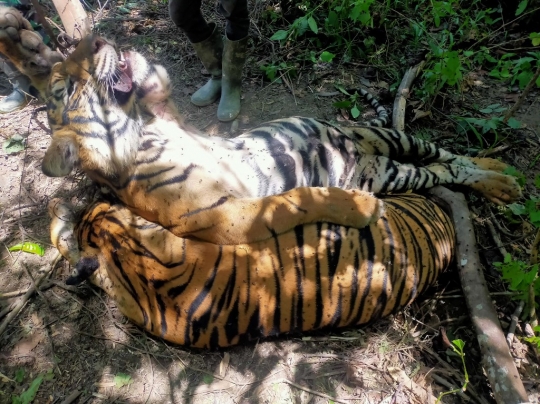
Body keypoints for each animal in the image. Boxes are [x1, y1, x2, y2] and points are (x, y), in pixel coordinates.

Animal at [1, 6, 524, 246]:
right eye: (67, 86)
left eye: (76, 62)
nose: (96, 40)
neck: (146, 133)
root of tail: (356, 144)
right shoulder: (229, 216)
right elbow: (298, 200)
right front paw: (358, 208)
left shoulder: (166, 109)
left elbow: (157, 83)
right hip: (387, 169)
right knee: (442, 171)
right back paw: (504, 183)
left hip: (386, 135)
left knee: (447, 155)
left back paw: (501, 174)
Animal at [49, 192, 456, 348]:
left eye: (102, 205)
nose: (98, 196)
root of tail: (446, 221)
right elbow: (301, 198)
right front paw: (365, 204)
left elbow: (64, 244)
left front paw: (58, 210)